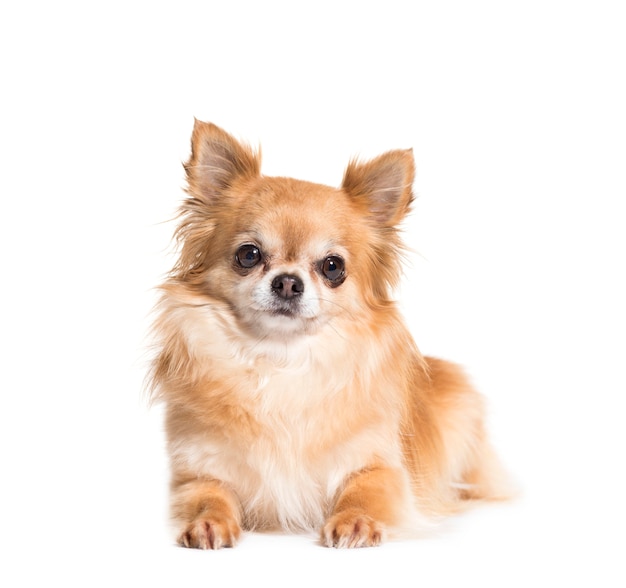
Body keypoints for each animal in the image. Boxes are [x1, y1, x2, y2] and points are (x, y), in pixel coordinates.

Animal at [151, 121, 508, 548]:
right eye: (249, 255)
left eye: (333, 266)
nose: (288, 282)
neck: (280, 361)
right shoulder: (196, 472)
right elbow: (209, 495)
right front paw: (209, 522)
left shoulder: (381, 469)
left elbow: (362, 491)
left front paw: (355, 521)